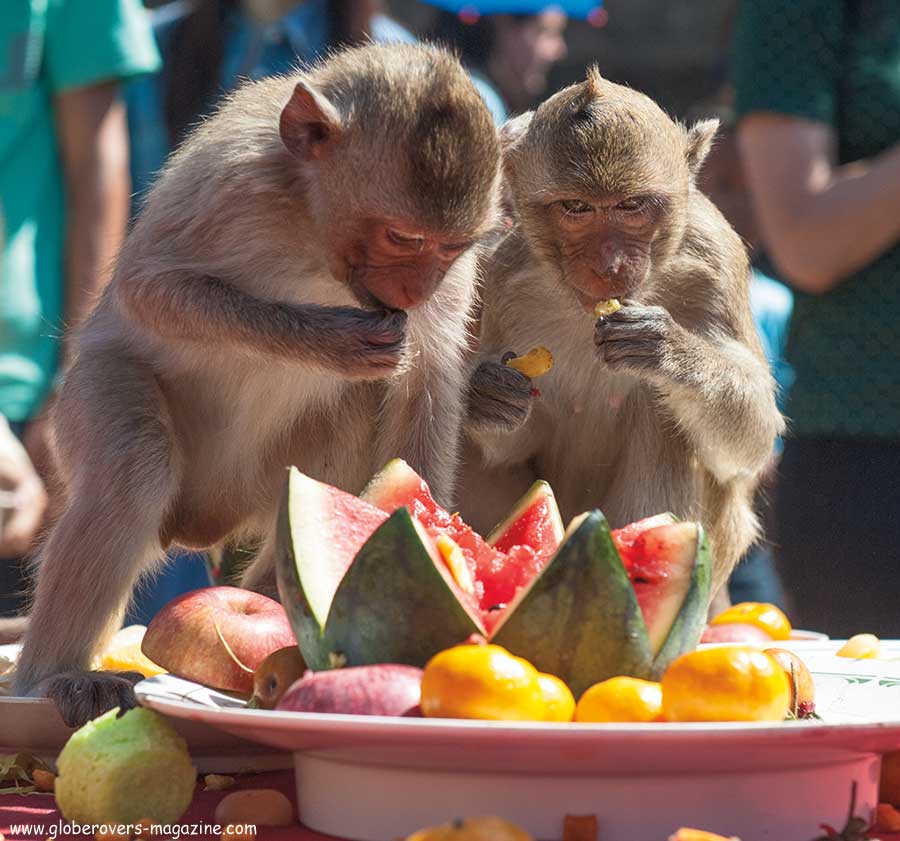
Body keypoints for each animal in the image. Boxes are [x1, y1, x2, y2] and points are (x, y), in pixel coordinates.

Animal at [17, 42, 502, 720]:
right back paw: (53, 676)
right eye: (404, 237)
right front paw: (327, 340)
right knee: (131, 462)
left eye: (451, 247)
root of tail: (202, 518)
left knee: (353, 419)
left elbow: (425, 382)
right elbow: (149, 287)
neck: (312, 228)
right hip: (86, 404)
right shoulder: (231, 179)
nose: (417, 289)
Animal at [460, 70, 784, 596]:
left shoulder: (715, 255)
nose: (608, 264)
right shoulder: (496, 272)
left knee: (668, 419)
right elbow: (508, 440)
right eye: (576, 207)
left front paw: (666, 349)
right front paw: (488, 397)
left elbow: (749, 442)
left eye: (632, 205)